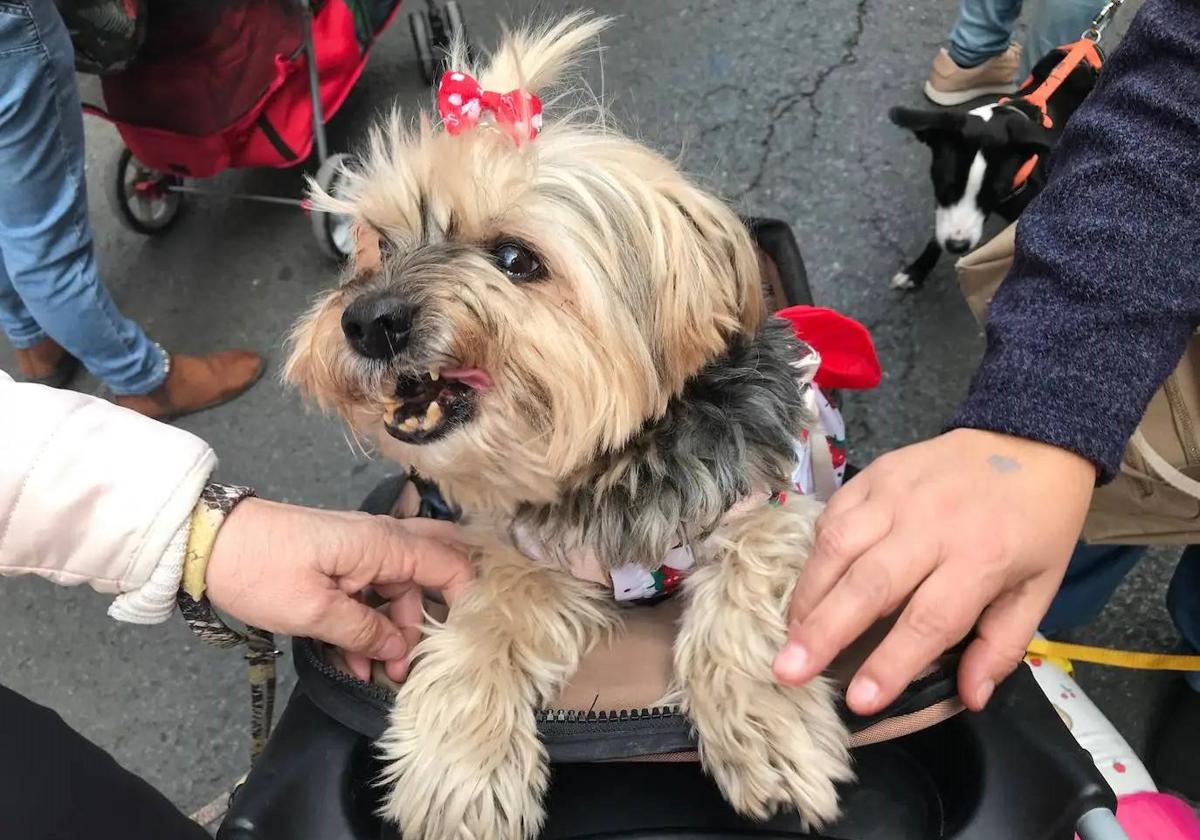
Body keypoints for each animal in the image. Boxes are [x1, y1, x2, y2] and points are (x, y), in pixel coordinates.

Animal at [290, 13, 854, 840]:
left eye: (515, 258)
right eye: (380, 243)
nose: (366, 320)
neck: (612, 466)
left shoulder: (774, 506)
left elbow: (745, 595)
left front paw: (767, 729)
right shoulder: (528, 557)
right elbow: (485, 624)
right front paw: (458, 773)